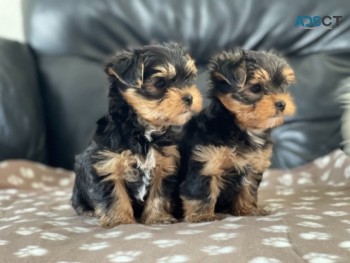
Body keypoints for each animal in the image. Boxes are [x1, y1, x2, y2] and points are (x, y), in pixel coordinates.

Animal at [72, 42, 202, 228]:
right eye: (160, 83)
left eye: (188, 79)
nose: (189, 97)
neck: (144, 130)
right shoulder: (107, 164)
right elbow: (114, 195)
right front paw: (119, 220)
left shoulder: (165, 164)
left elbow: (159, 194)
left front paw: (158, 218)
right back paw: (88, 210)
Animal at [179, 48, 296, 223]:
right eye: (256, 88)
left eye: (283, 86)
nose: (282, 104)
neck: (242, 128)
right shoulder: (207, 161)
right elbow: (201, 191)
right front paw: (203, 216)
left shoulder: (253, 165)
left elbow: (249, 189)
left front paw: (248, 210)